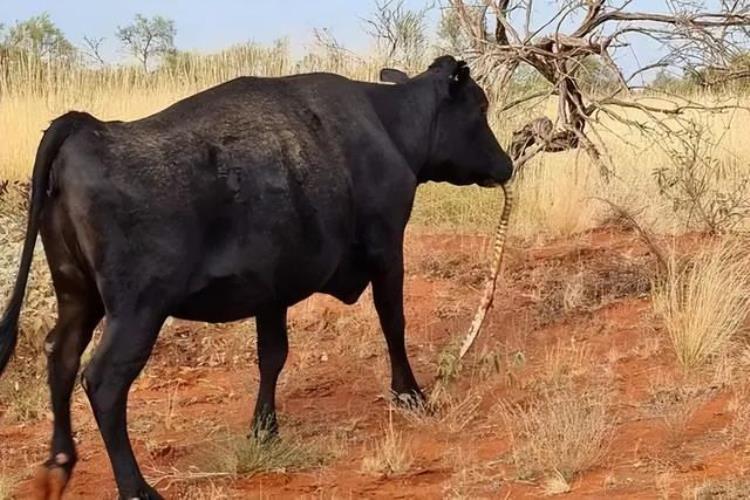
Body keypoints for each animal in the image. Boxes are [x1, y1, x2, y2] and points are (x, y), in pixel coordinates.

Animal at [0, 55, 512, 500]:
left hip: (78, 294)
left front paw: (265, 428)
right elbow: (393, 323)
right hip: (137, 310)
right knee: (104, 381)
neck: (388, 126)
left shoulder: (272, 288)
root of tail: (88, 127)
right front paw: (410, 394)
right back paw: (136, 488)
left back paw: (59, 465)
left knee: (61, 356)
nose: (506, 165)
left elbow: (272, 356)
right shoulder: (388, 249)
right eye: (480, 106)